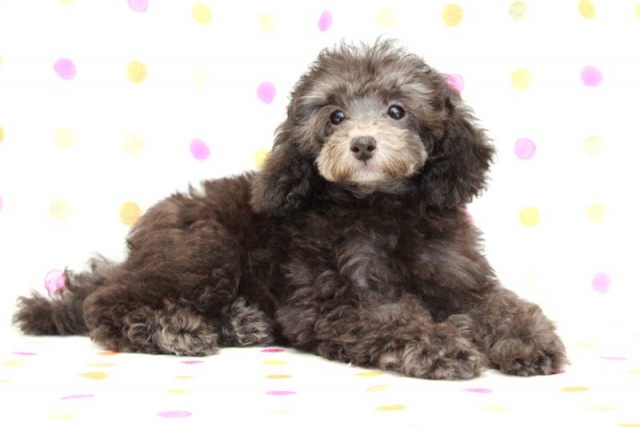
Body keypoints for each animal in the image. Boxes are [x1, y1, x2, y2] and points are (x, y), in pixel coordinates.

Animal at [13, 40, 567, 380]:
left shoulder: (458, 277)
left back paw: (241, 321)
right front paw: (441, 346)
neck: (380, 208)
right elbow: (392, 318)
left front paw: (528, 339)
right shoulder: (331, 300)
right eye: (335, 116)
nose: (363, 144)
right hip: (203, 250)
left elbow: (499, 303)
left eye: (397, 110)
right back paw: (176, 329)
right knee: (105, 305)